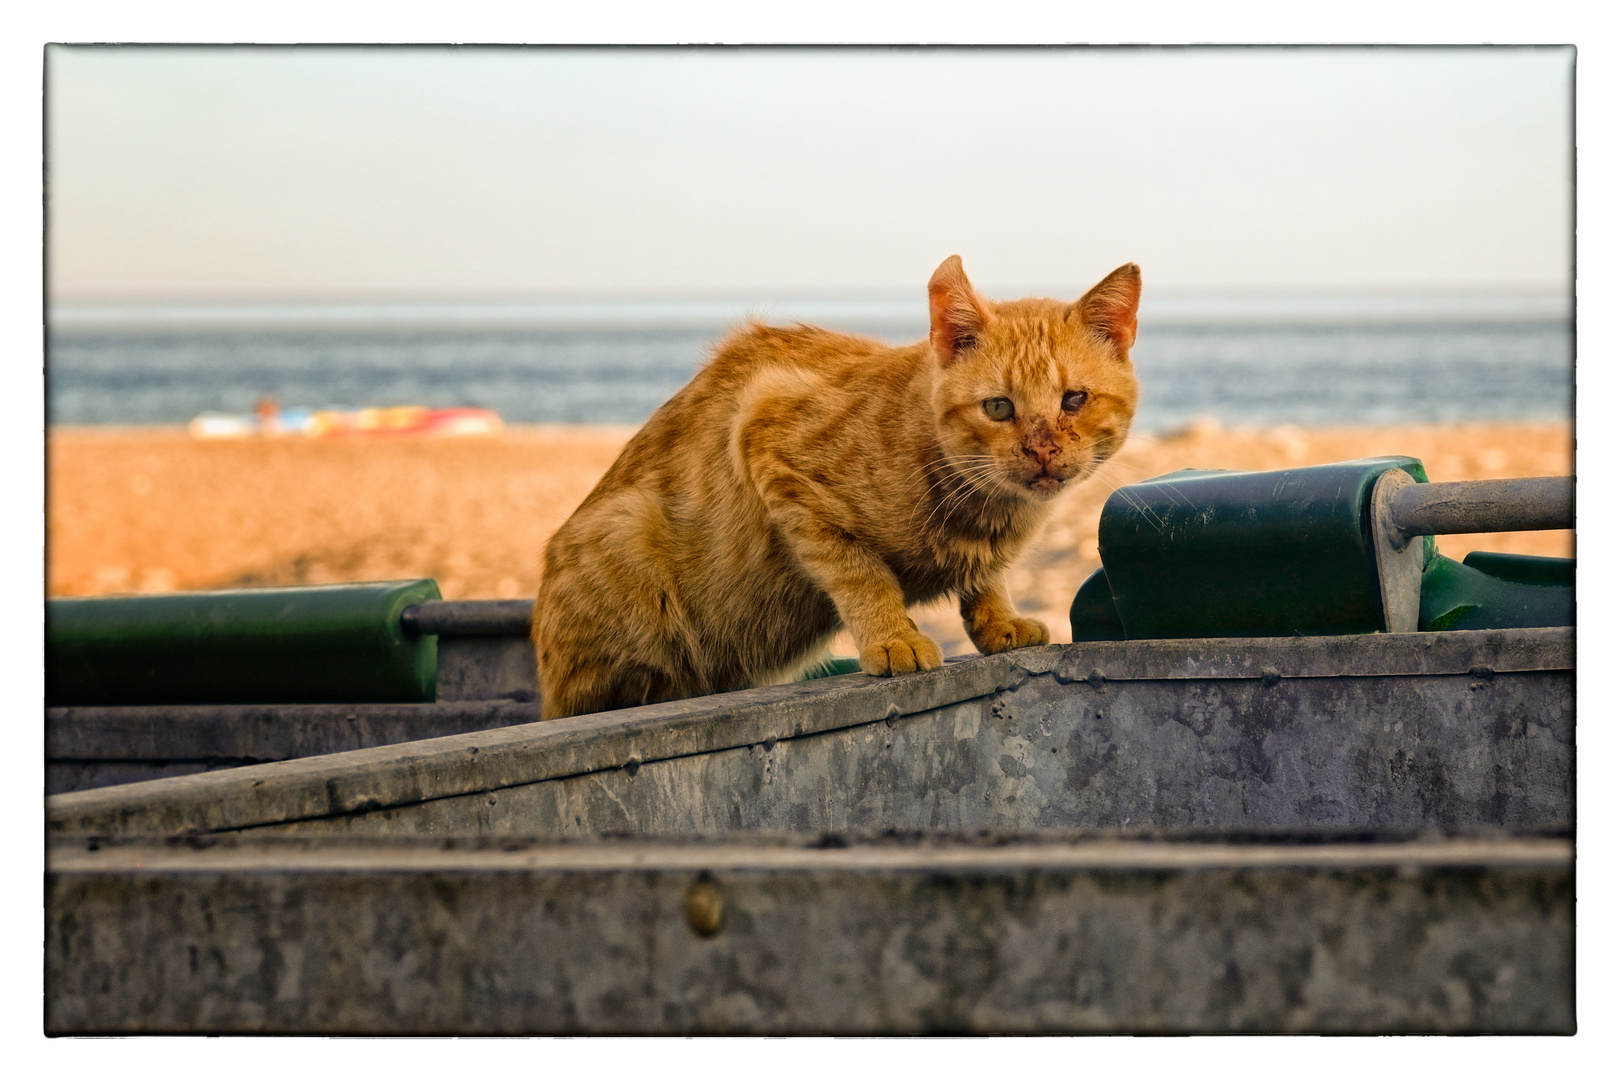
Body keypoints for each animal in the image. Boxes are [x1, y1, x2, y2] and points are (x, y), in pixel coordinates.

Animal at [531, 257, 1140, 722]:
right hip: (626, 532)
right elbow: (859, 572)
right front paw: (892, 638)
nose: (1042, 451)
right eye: (998, 407)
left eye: (1074, 401)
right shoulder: (766, 433)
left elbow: (985, 580)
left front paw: (998, 619)